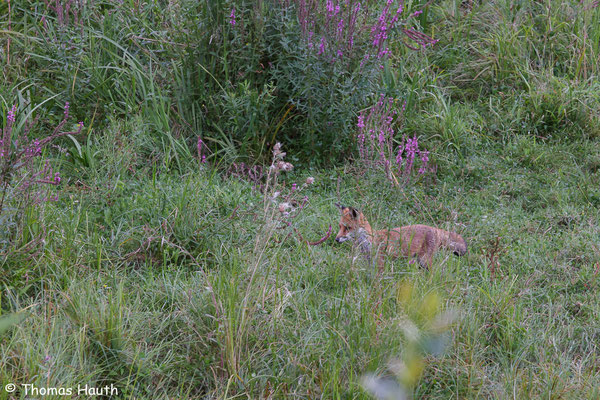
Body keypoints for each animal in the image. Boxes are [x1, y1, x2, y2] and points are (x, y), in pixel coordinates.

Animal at [332, 205, 468, 270]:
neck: (369, 242)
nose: (336, 239)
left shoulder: (380, 263)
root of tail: (435, 229)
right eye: (340, 226)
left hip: (425, 261)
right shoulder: (370, 263)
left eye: (348, 228)